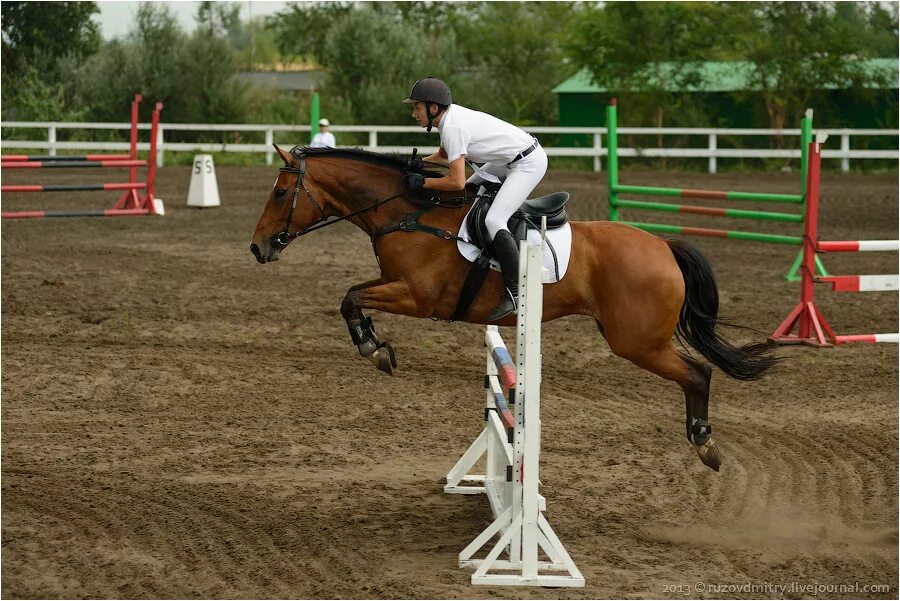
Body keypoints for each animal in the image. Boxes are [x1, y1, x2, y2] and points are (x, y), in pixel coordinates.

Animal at [250, 144, 776, 468]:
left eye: (280, 192)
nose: (257, 248)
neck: (408, 210)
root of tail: (664, 246)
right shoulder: (392, 281)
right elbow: (351, 295)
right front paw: (375, 345)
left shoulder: (418, 297)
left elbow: (350, 298)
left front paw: (374, 349)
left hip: (637, 342)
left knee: (698, 373)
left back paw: (705, 444)